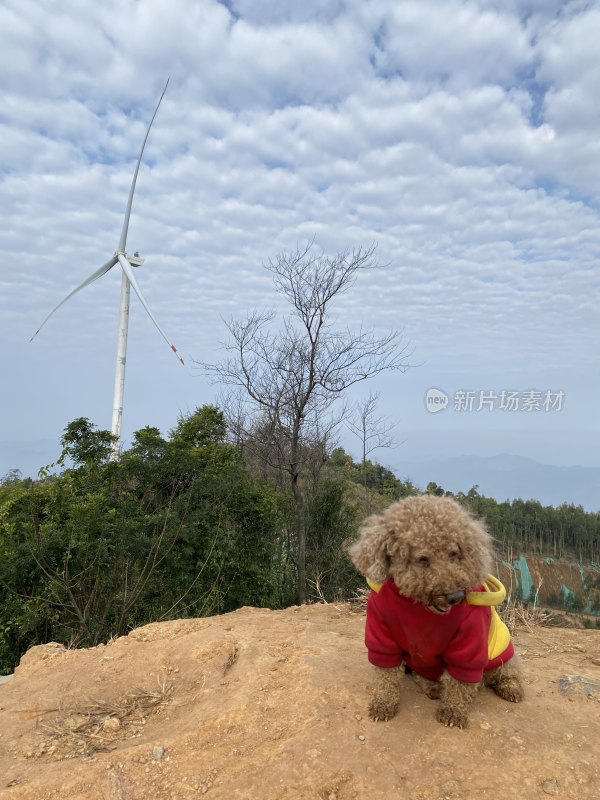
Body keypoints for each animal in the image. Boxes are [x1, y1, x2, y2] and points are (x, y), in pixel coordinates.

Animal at [350, 494, 524, 724]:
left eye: (454, 554)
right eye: (423, 559)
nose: (456, 596)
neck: (418, 606)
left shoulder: (470, 640)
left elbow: (460, 681)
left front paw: (453, 711)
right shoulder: (381, 634)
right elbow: (386, 674)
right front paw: (383, 703)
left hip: (502, 654)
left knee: (507, 671)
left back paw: (510, 687)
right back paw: (432, 686)